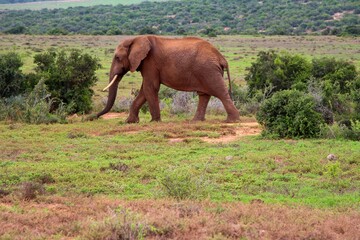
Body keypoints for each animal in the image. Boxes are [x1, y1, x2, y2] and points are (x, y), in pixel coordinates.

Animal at [97, 35, 240, 124]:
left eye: (117, 58)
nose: (94, 117)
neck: (136, 38)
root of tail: (221, 57)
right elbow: (144, 90)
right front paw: (130, 122)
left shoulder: (150, 62)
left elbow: (150, 88)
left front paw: (154, 122)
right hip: (206, 70)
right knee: (204, 95)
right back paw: (195, 121)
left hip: (208, 70)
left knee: (220, 92)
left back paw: (232, 121)